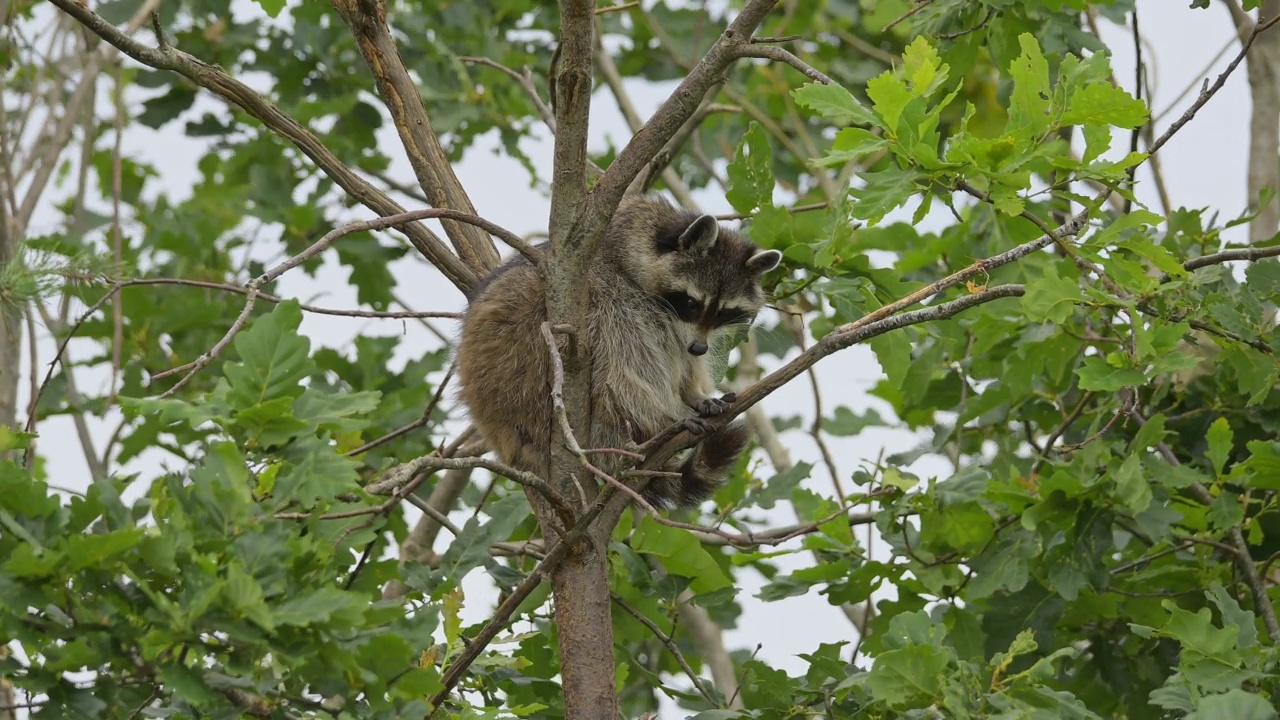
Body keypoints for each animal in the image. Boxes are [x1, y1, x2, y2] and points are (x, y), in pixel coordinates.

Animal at [455, 190, 783, 504]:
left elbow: (680, 354)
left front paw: (692, 393)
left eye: (724, 313)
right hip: (532, 384)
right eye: (691, 302)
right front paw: (671, 410)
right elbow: (624, 372)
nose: (699, 348)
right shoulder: (606, 296)